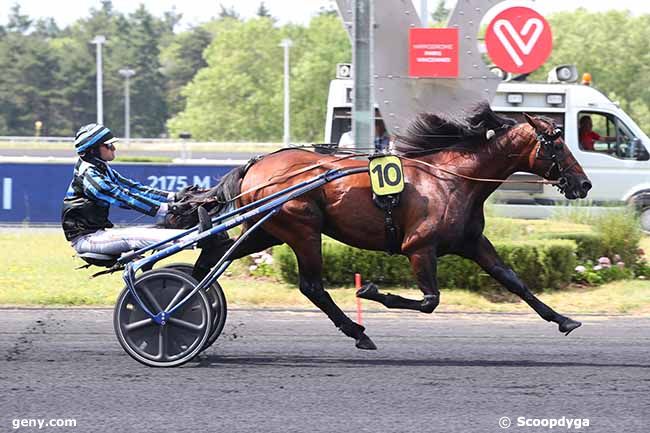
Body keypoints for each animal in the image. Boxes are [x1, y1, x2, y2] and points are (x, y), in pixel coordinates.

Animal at [166, 103, 588, 350]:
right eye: (555, 143)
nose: (583, 184)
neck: (451, 179)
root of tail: (255, 164)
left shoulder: (472, 243)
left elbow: (514, 281)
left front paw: (564, 320)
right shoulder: (419, 248)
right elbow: (430, 301)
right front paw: (369, 291)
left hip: (266, 230)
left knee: (213, 254)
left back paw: (187, 301)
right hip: (302, 229)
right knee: (311, 286)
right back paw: (357, 332)